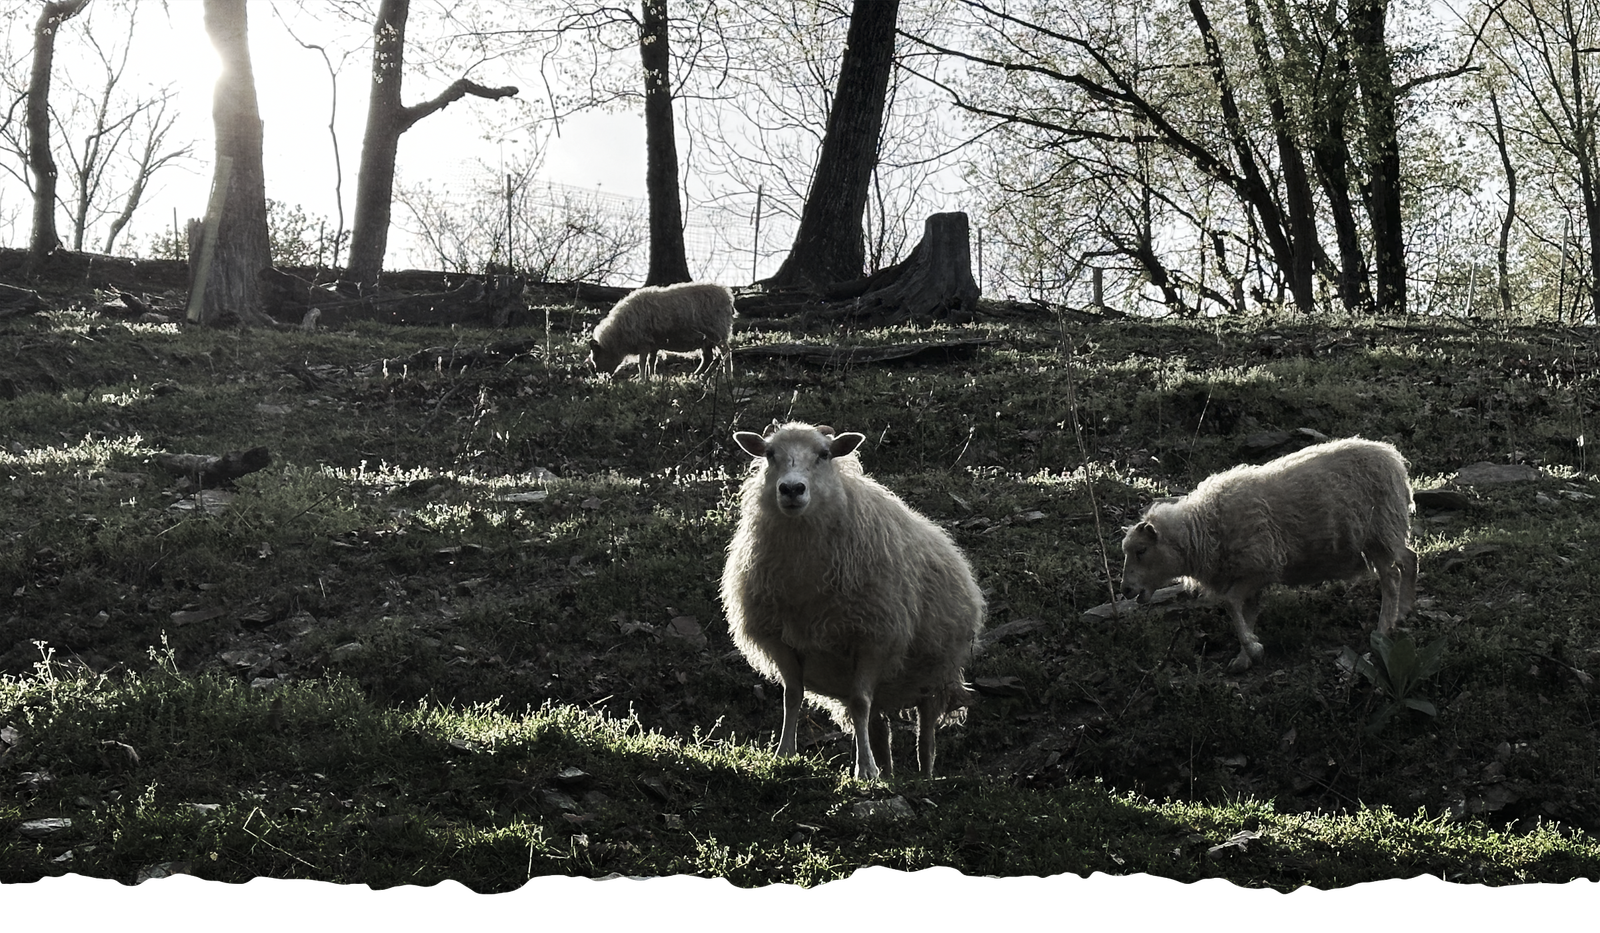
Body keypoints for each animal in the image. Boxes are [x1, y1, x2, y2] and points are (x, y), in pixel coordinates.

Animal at [587, 281, 735, 379]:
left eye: (596, 358)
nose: (602, 377)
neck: (619, 335)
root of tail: (727, 295)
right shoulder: (653, 344)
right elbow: (651, 361)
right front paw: (651, 377)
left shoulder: (643, 342)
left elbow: (642, 362)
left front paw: (642, 379)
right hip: (706, 339)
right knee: (708, 358)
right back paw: (696, 376)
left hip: (718, 332)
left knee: (726, 353)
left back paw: (727, 376)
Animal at [721, 422, 985, 780]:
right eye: (770, 454)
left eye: (824, 454)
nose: (791, 490)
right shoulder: (781, 640)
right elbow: (792, 696)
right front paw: (785, 753)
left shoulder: (874, 637)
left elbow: (860, 701)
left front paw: (864, 771)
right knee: (878, 724)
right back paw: (885, 769)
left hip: (934, 674)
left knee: (925, 729)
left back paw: (923, 773)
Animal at [1120, 438, 1418, 674]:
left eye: (1141, 550)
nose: (1124, 590)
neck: (1202, 528)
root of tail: (1393, 457)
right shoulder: (1247, 576)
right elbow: (1245, 613)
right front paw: (1244, 656)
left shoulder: (1260, 566)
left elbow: (1230, 604)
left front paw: (1253, 648)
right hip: (1387, 534)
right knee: (1410, 559)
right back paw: (1403, 611)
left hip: (1380, 533)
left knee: (1391, 577)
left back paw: (1383, 629)